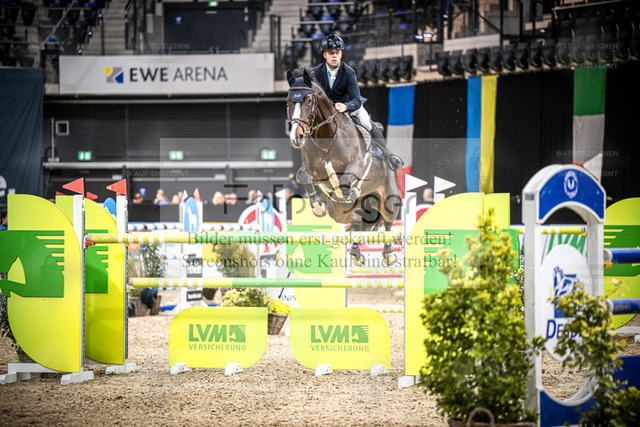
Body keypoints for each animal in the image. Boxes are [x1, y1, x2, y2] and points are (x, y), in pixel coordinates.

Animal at [286, 68, 402, 266]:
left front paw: (348, 193)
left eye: (308, 100)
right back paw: (356, 252)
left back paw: (388, 253)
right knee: (358, 221)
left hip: (388, 197)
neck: (326, 137)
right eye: (288, 100)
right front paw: (318, 207)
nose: (296, 137)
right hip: (338, 211)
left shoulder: (355, 166)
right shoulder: (313, 171)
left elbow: (346, 182)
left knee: (387, 221)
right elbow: (304, 178)